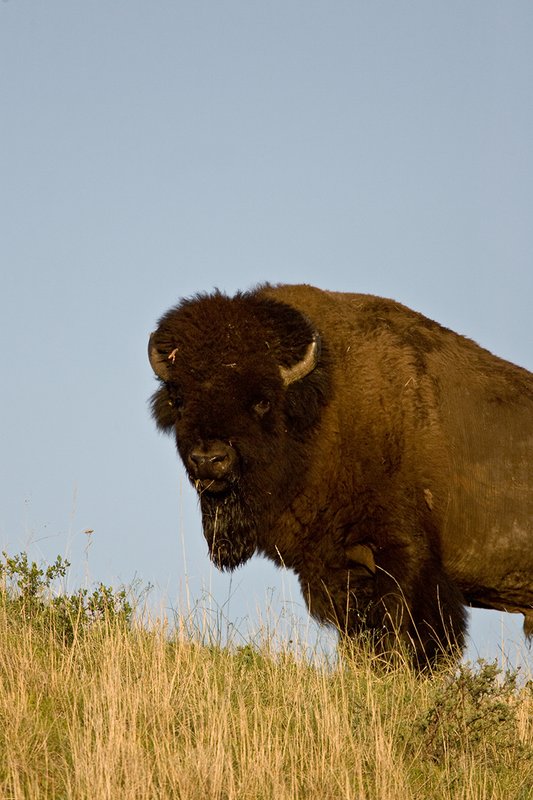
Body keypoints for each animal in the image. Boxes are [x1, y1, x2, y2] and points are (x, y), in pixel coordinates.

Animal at [148, 283, 533, 667]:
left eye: (261, 401)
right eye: (179, 399)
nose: (209, 459)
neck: (324, 408)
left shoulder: (406, 557)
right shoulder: (335, 569)